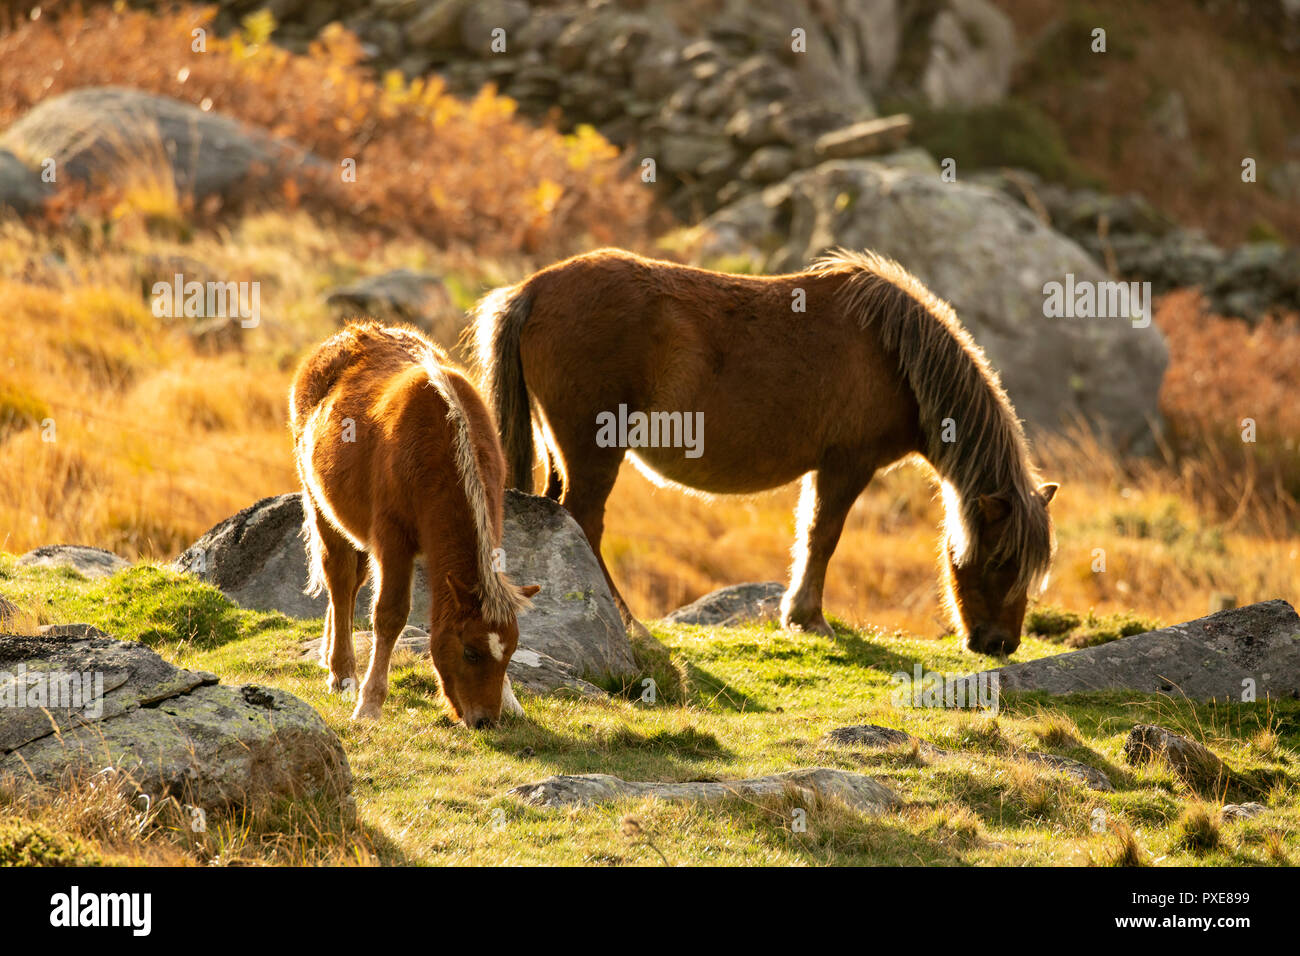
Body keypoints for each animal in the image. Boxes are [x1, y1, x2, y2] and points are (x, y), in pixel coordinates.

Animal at [290, 322, 539, 725]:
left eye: (510, 653)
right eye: (470, 652)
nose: (486, 720)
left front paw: (511, 700)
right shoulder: (393, 541)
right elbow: (390, 615)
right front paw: (370, 703)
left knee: (349, 585)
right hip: (320, 505)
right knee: (339, 580)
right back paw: (343, 674)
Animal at [472, 248, 1057, 656]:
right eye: (1000, 559)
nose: (1000, 644)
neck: (892, 354)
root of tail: (532, 290)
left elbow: (811, 533)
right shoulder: (848, 464)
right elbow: (822, 536)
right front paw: (807, 617)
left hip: (562, 450)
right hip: (594, 452)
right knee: (585, 521)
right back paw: (627, 620)